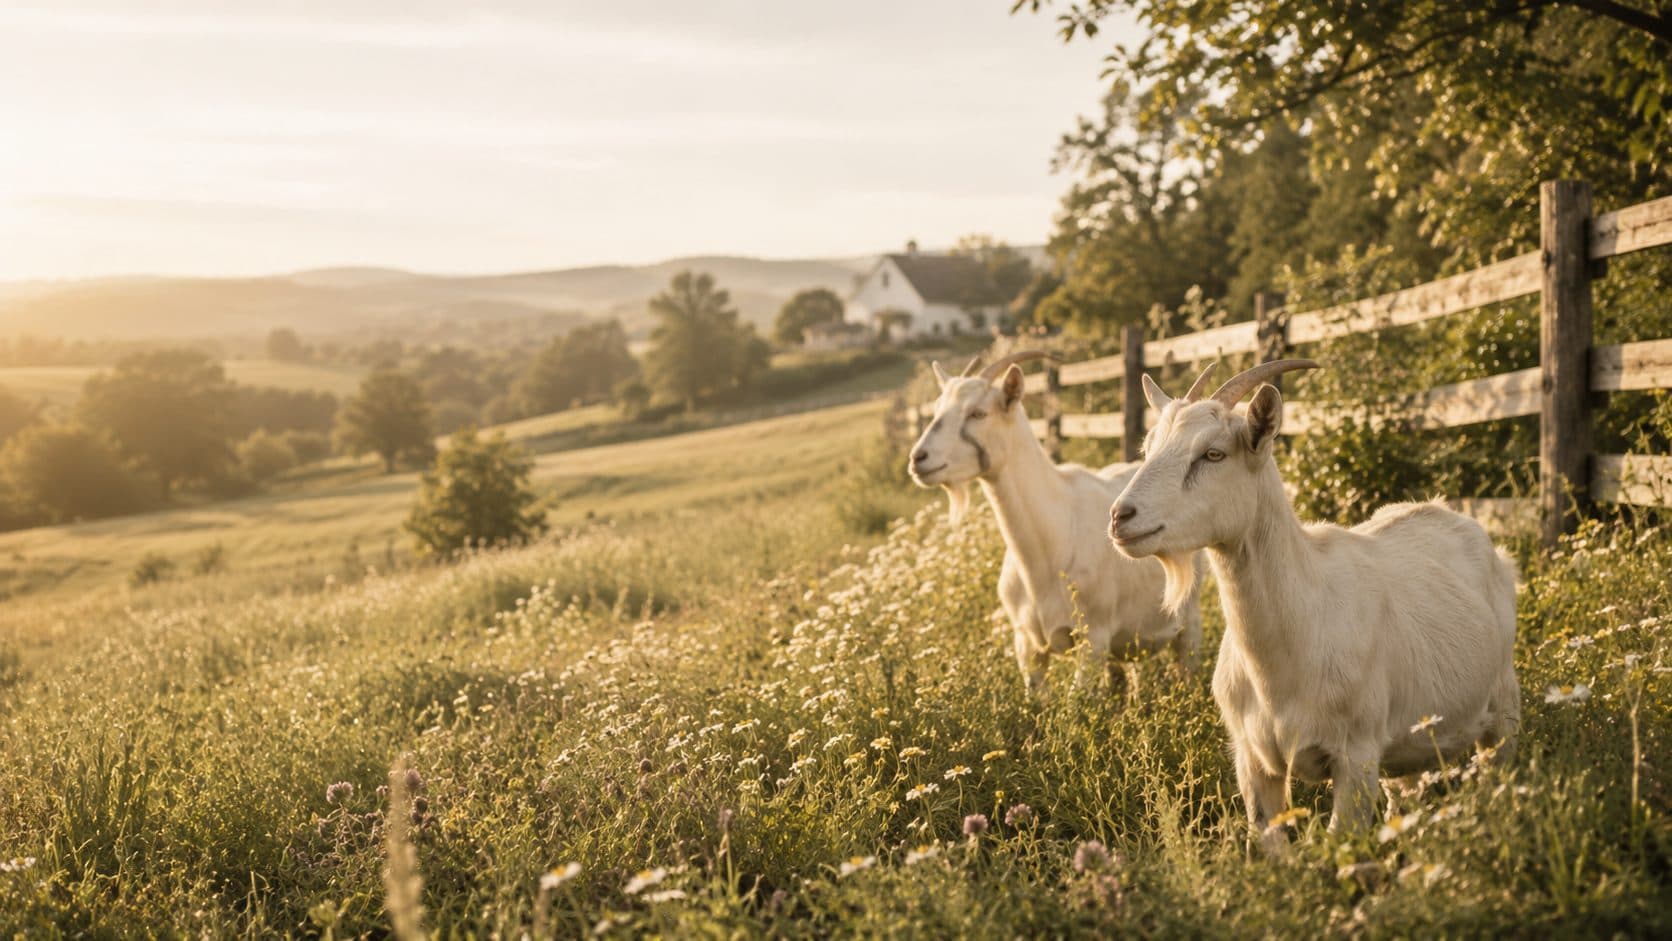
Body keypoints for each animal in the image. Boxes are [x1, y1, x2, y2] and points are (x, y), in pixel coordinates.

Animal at [909, 351, 1203, 693]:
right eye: (937, 409)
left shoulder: (1092, 640)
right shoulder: (1027, 646)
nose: (918, 458)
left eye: (977, 413)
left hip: (1188, 621)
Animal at [1108, 360, 1520, 853]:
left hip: (1503, 708)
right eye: (1149, 447)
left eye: (1212, 454)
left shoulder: (1356, 756)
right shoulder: (1253, 763)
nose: (1121, 517)